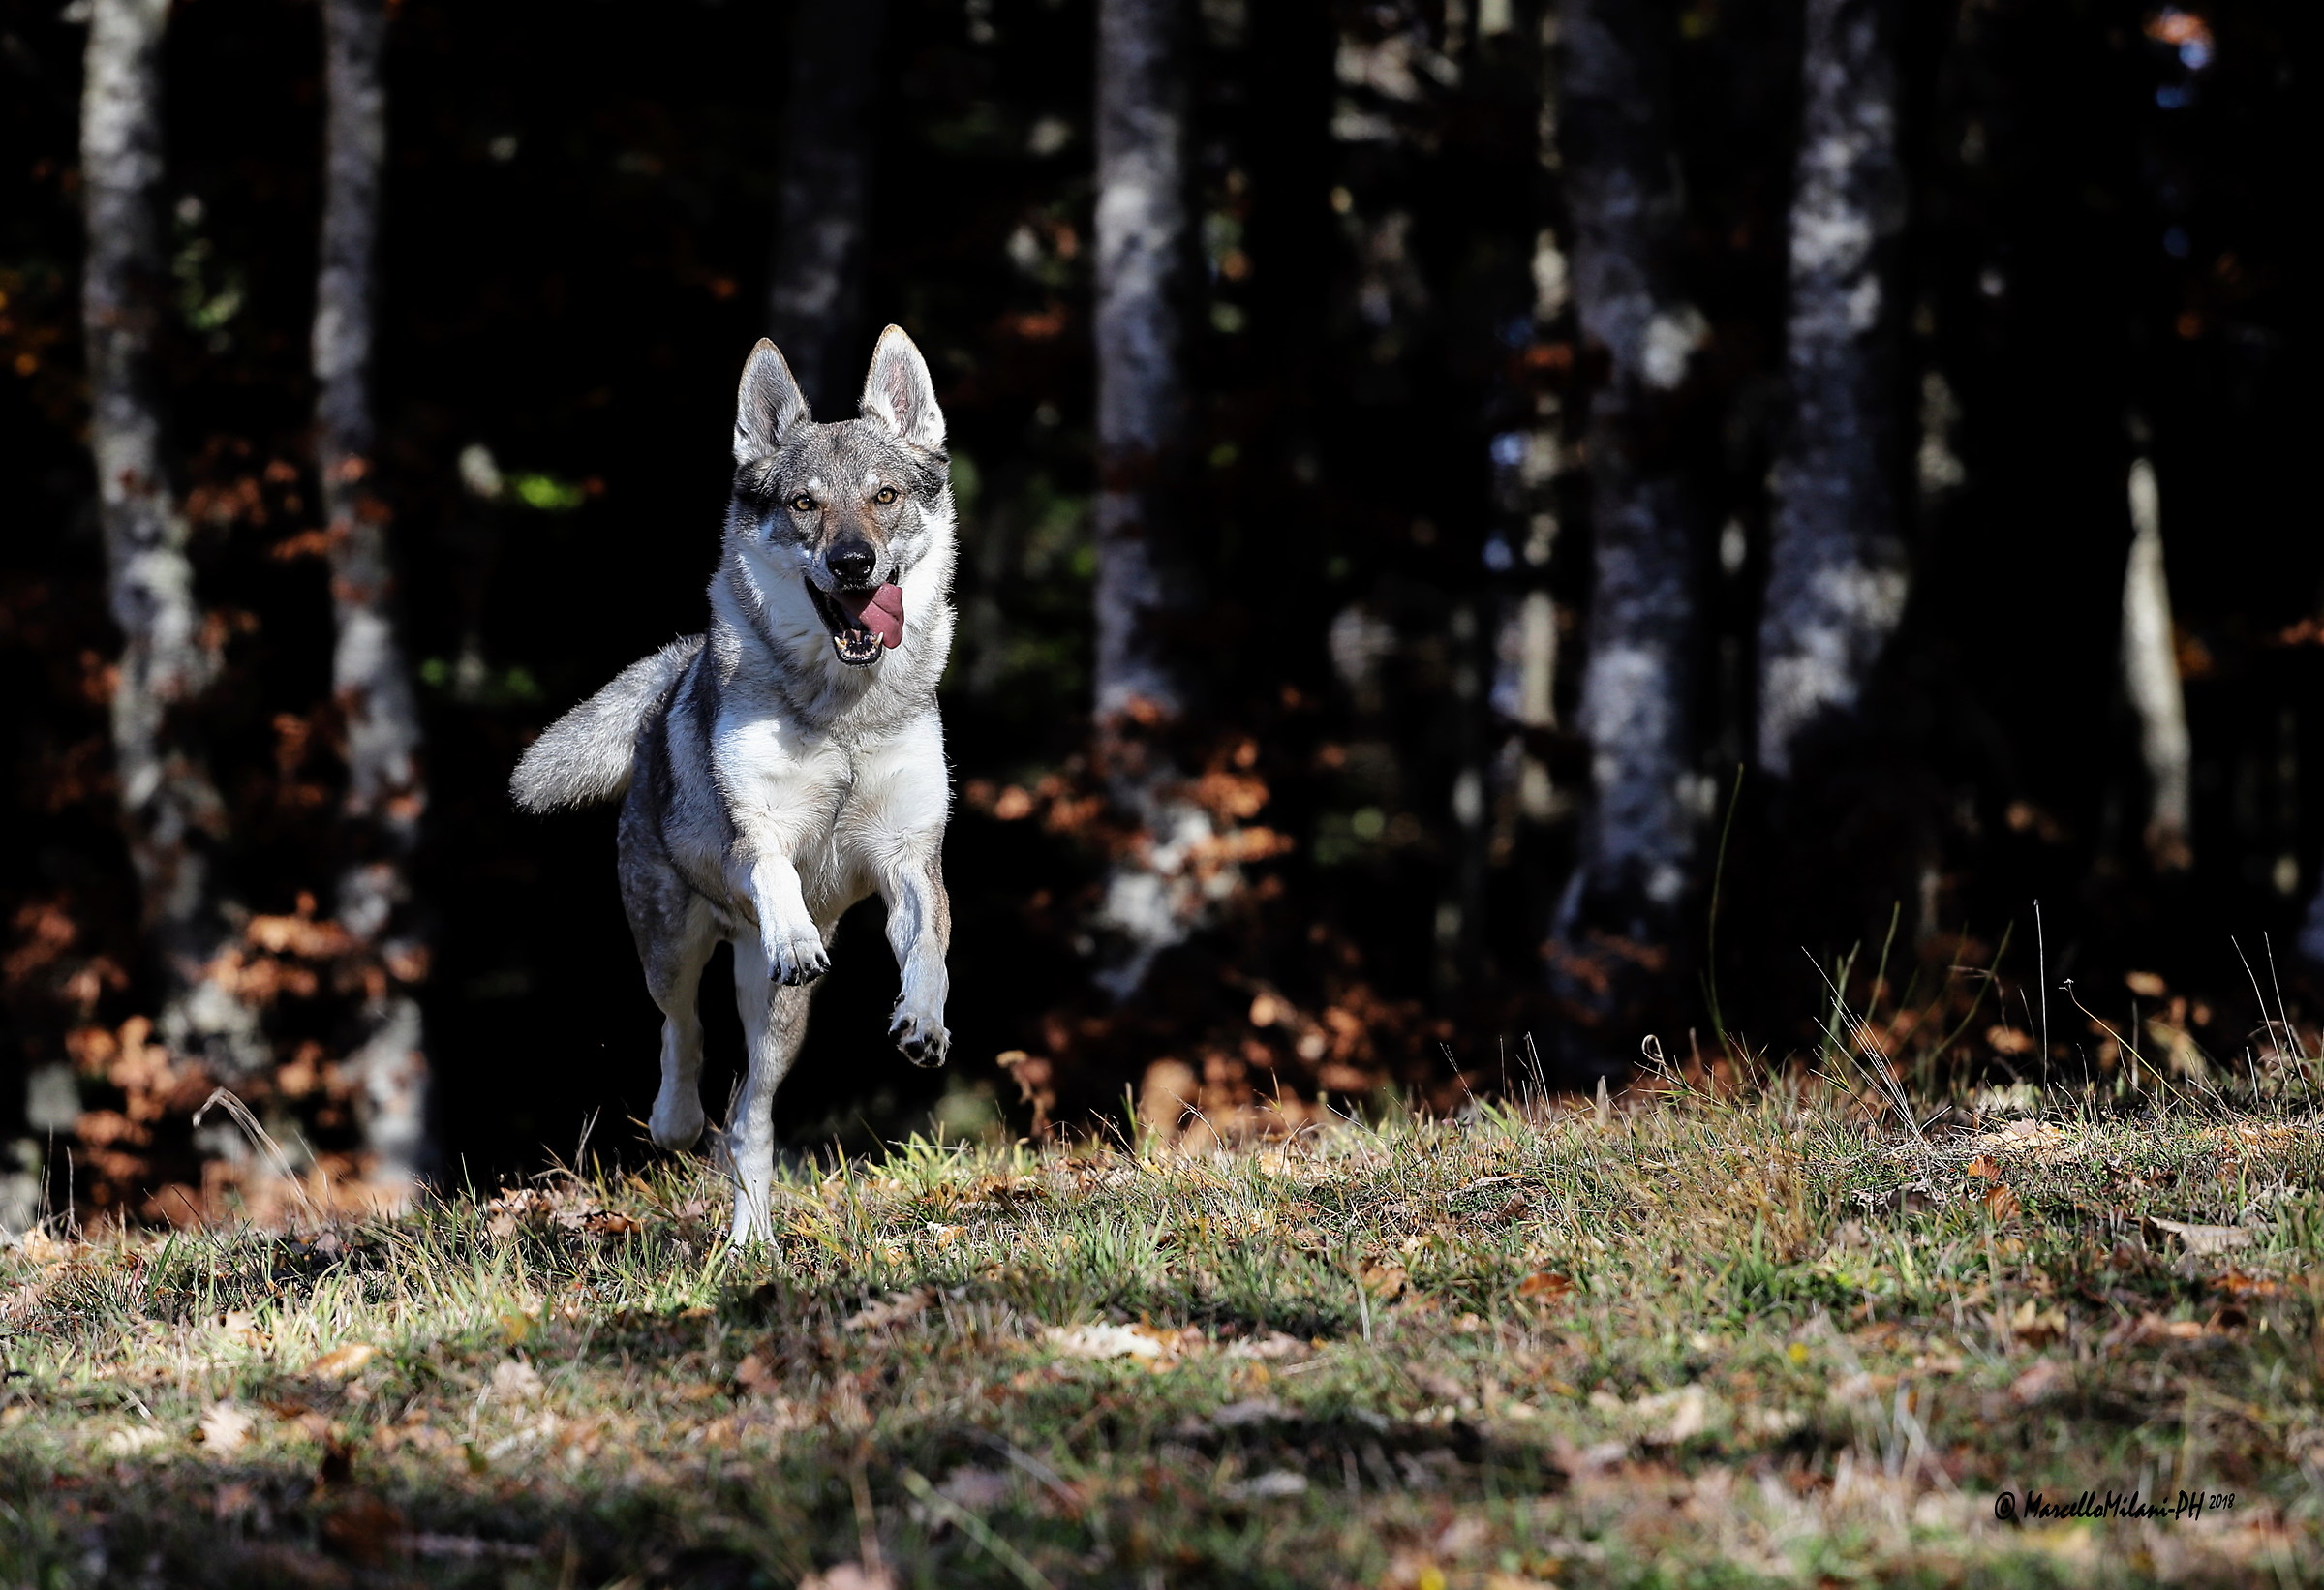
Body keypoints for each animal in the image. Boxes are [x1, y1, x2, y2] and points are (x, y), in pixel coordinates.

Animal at [510, 328, 956, 1242]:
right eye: (805, 505)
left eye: (885, 496)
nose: (853, 563)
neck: (843, 713)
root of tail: (678, 669)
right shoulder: (758, 833)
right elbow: (779, 873)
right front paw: (794, 935)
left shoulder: (910, 859)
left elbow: (929, 951)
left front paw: (923, 1021)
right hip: (671, 941)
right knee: (682, 1034)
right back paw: (679, 1119)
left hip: (781, 1021)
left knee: (749, 1117)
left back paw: (754, 1242)